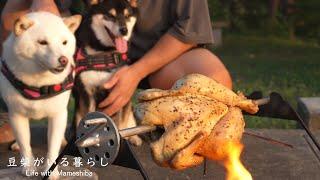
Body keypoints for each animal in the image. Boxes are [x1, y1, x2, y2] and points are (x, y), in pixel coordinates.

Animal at [0, 11, 81, 179]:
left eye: (64, 42)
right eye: (43, 42)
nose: (63, 60)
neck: (40, 84)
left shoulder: (58, 114)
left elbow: (53, 146)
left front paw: (51, 171)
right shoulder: (16, 115)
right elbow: (25, 144)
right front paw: (28, 167)